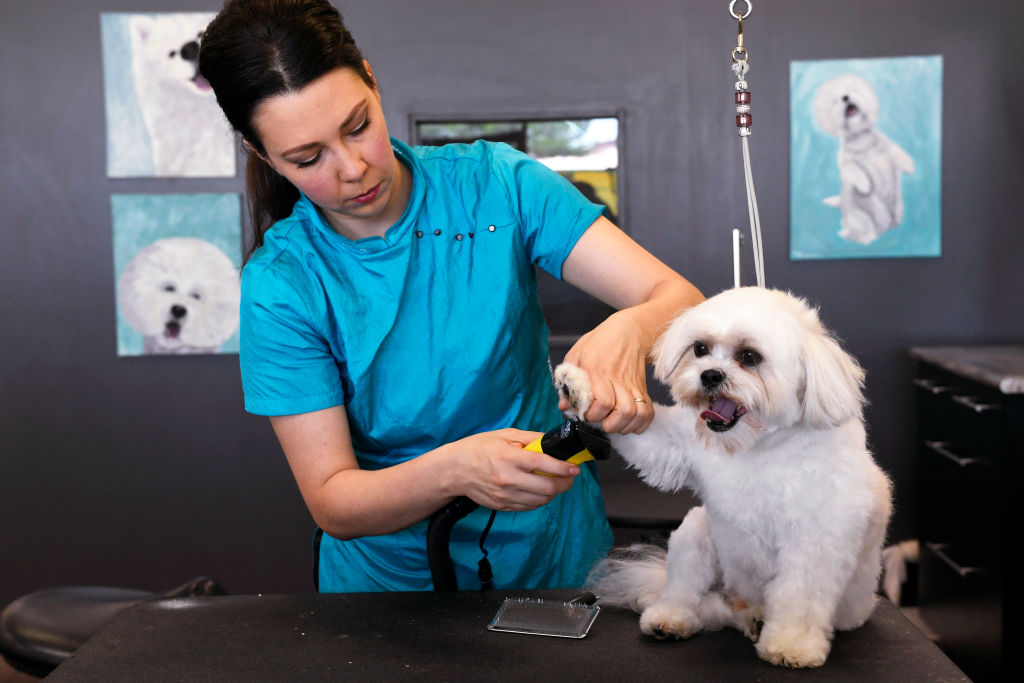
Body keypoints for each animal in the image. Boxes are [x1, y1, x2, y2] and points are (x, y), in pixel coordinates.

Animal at [557, 288, 892, 667]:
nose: (710, 375)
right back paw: (671, 618)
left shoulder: (816, 543)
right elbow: (648, 439)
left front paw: (792, 645)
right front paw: (579, 389)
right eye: (700, 348)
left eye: (749, 356)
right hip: (697, 535)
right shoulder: (676, 445)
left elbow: (799, 598)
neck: (759, 446)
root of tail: (743, 604)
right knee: (687, 593)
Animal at [811, 73, 917, 244]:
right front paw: (865, 185)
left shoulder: (886, 148)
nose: (845, 97)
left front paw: (908, 166)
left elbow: (897, 151)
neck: (862, 141)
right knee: (860, 234)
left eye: (852, 89)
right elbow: (853, 171)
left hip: (898, 209)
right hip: (862, 221)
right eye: (834, 101)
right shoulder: (846, 164)